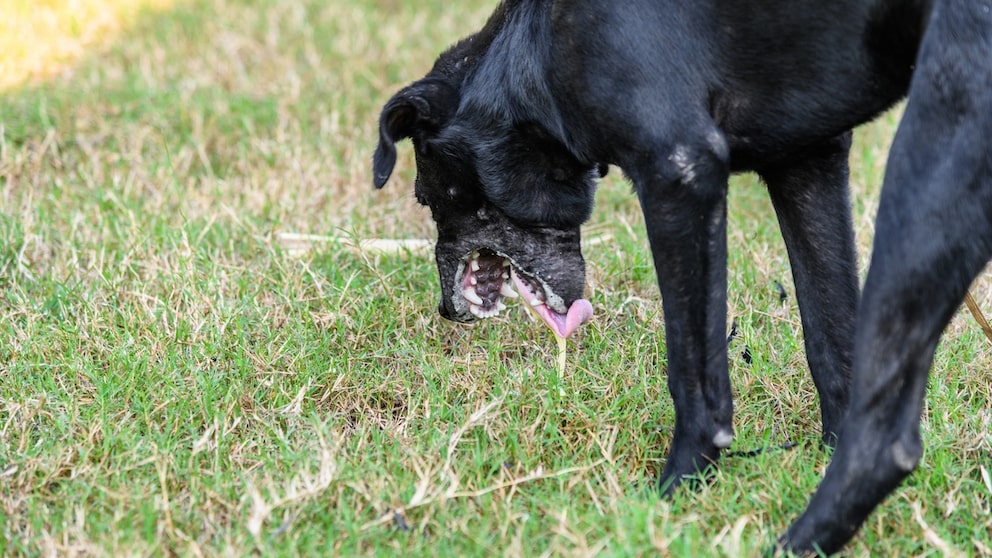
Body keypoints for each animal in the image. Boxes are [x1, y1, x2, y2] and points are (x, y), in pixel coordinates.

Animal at [374, 0, 992, 556]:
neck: (536, 47)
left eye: (427, 196)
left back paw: (789, 545)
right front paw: (820, 453)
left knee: (887, 441)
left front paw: (675, 492)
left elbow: (694, 374)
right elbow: (832, 344)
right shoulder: (808, 161)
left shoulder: (680, 175)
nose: (445, 310)